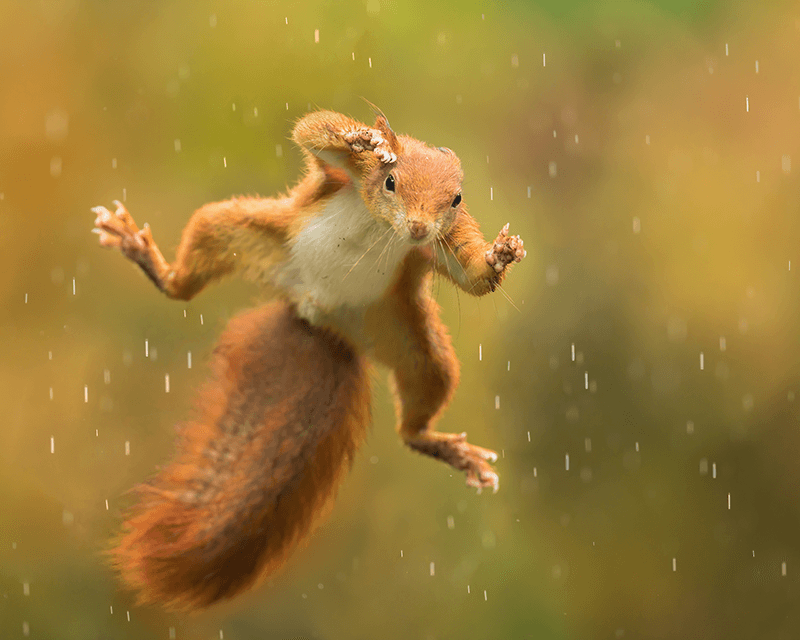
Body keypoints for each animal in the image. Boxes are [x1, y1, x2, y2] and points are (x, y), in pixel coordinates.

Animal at [90, 109, 524, 608]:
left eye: (455, 199)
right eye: (390, 182)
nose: (417, 229)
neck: (383, 225)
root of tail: (318, 320)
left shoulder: (448, 239)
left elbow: (474, 278)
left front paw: (500, 255)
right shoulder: (338, 176)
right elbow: (312, 131)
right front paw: (366, 138)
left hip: (414, 343)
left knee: (417, 414)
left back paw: (443, 446)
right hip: (233, 230)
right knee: (184, 279)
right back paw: (145, 255)